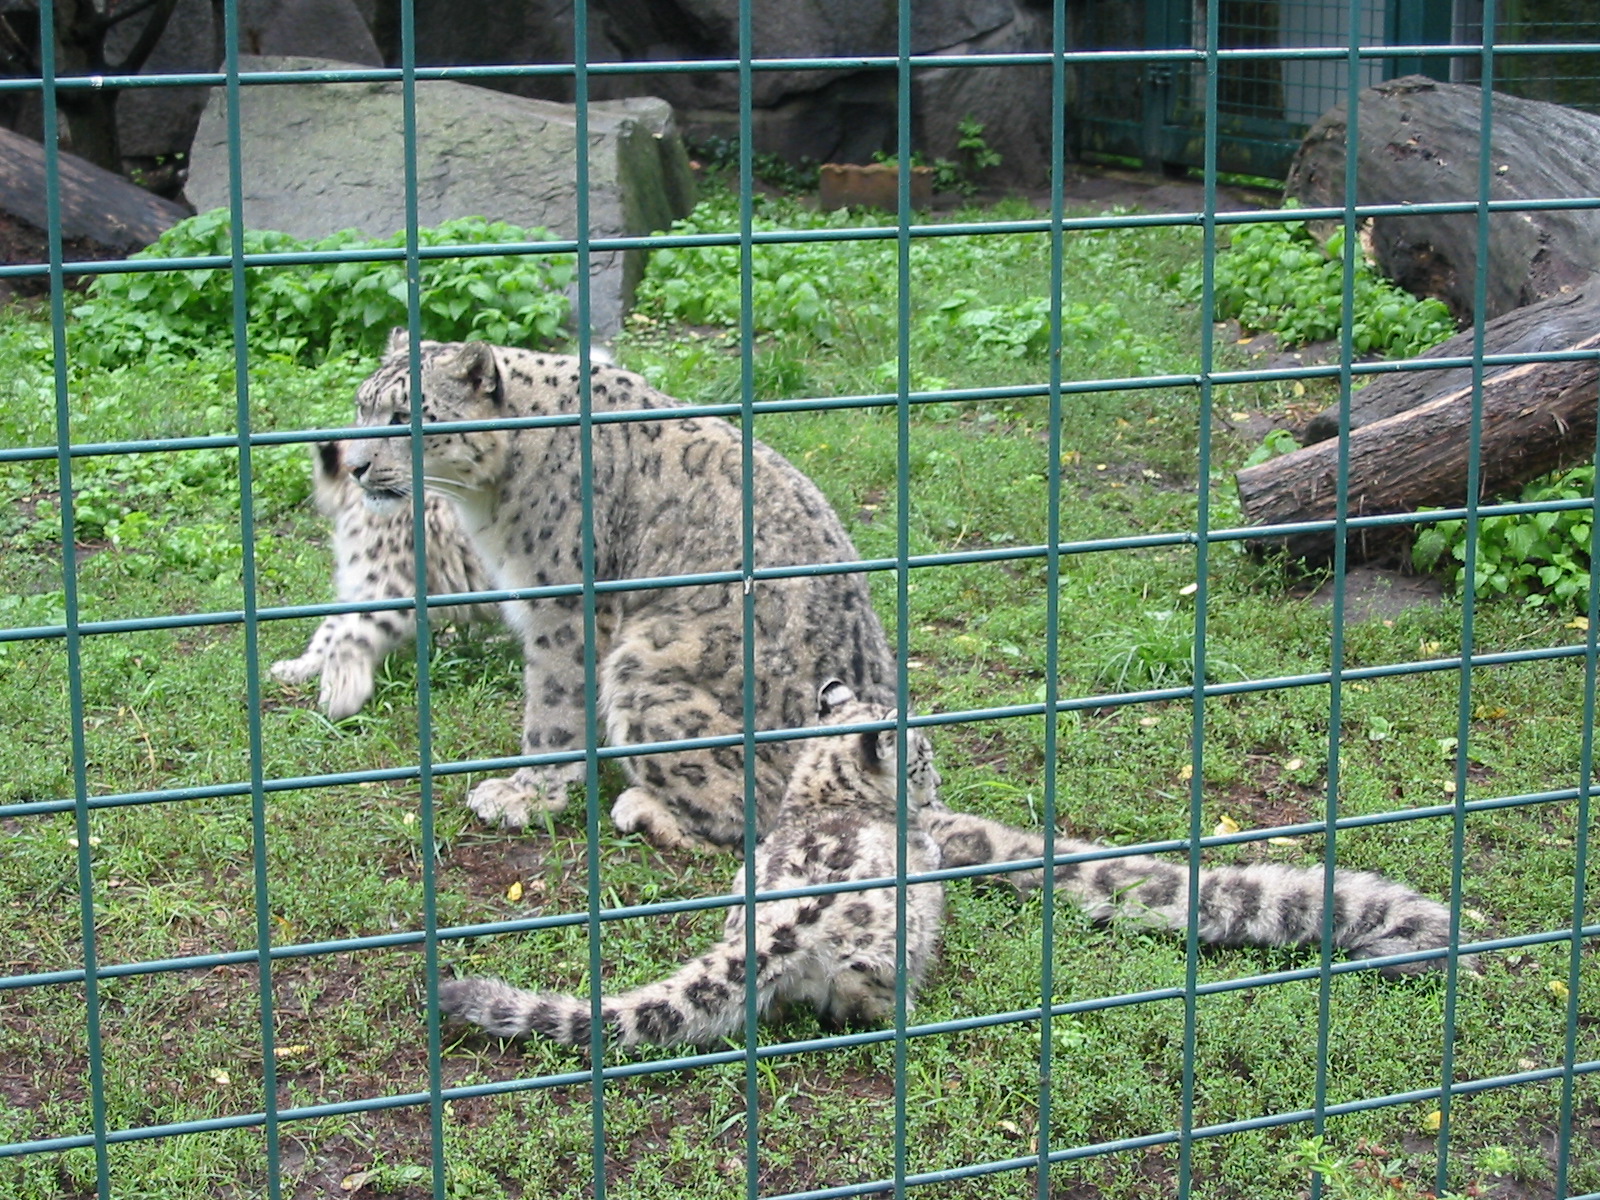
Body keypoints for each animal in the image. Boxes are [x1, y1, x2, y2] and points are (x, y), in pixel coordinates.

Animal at [269, 439, 505, 721]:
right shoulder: (369, 584)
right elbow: (334, 628)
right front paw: (304, 671)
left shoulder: (388, 584)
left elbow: (349, 631)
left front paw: (341, 692)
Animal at [342, 332, 896, 850]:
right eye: (361, 406)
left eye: (404, 415)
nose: (352, 466)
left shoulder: (561, 605)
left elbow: (553, 705)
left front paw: (526, 795)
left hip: (644, 661)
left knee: (758, 807)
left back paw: (645, 809)